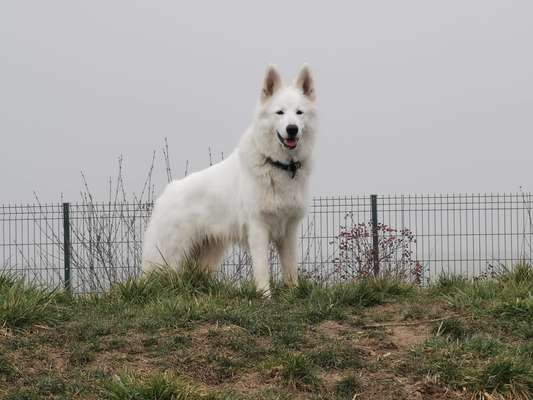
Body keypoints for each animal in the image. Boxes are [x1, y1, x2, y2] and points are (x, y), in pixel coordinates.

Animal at [141, 65, 316, 296]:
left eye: (299, 113)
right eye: (280, 112)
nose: (292, 129)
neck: (278, 165)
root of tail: (167, 192)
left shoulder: (289, 230)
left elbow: (290, 269)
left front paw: (293, 293)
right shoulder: (258, 228)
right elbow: (262, 268)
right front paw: (265, 296)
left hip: (207, 255)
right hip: (168, 258)